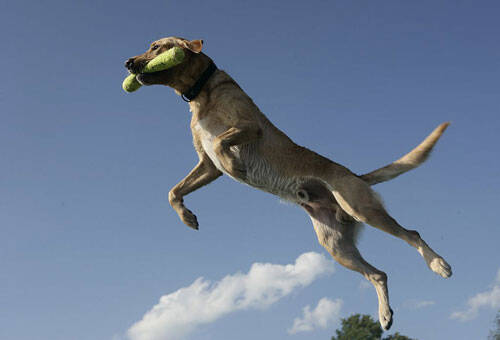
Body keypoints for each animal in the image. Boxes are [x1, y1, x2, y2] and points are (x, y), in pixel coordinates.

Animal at [126, 36, 454, 330]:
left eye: (156, 46)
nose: (127, 62)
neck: (202, 92)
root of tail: (355, 176)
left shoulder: (248, 128)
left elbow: (221, 143)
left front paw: (236, 166)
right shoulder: (206, 166)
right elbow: (173, 191)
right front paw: (187, 217)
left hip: (362, 210)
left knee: (412, 234)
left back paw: (439, 264)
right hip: (336, 247)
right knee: (379, 274)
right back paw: (385, 316)